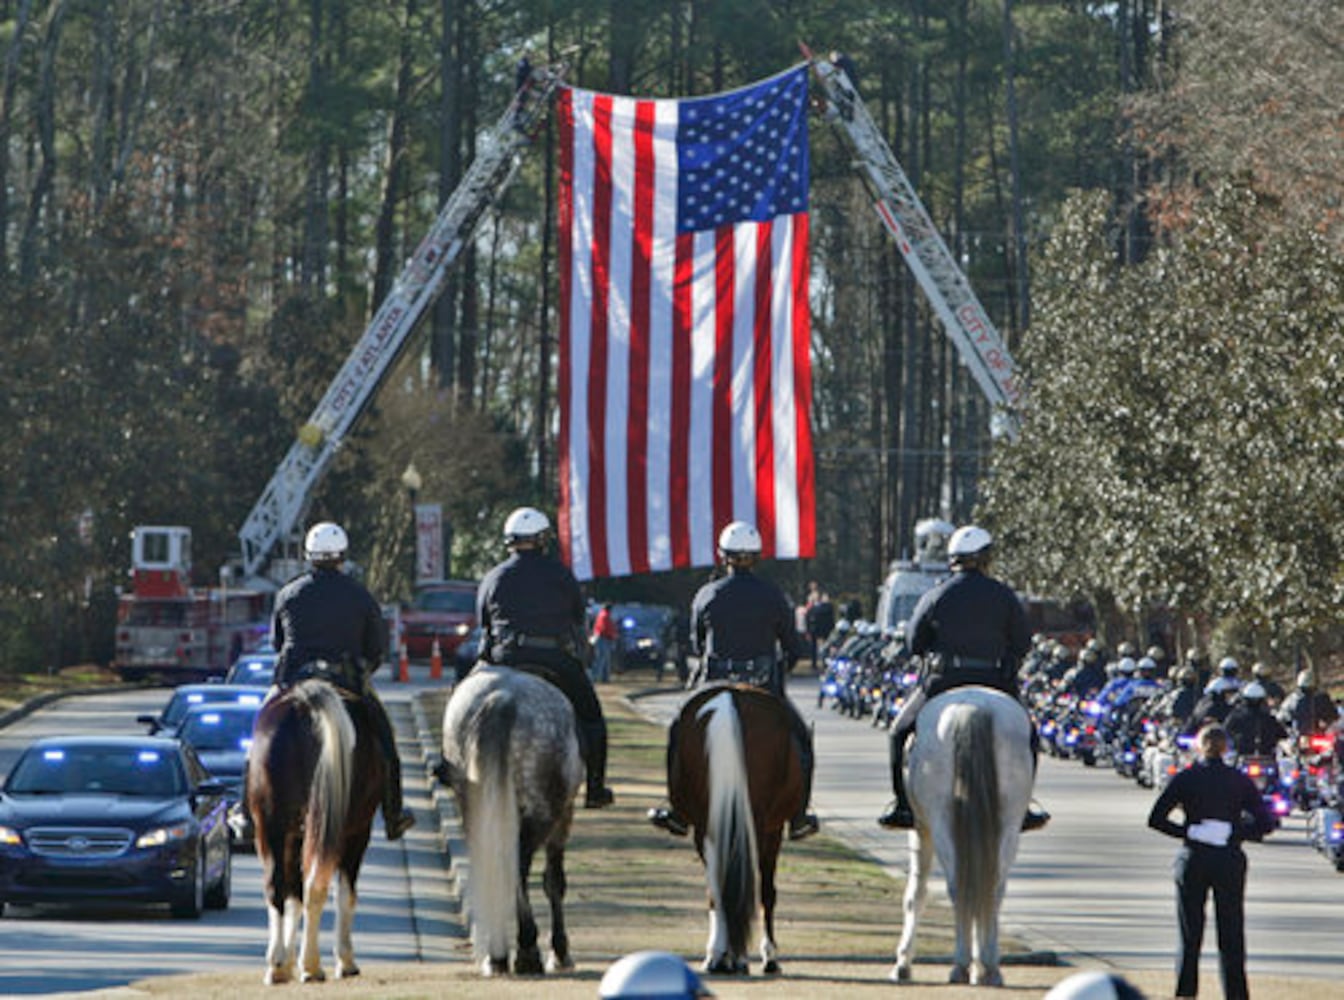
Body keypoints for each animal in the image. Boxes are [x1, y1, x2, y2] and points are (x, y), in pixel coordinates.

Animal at [244, 680, 381, 983]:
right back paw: (312, 965)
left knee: (277, 887)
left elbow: (293, 896)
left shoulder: (292, 837)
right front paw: (344, 960)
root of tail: (305, 702)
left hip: (271, 826)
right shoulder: (357, 833)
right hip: (336, 831)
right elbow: (344, 895)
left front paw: (286, 961)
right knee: (316, 887)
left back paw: (277, 965)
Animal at [666, 682, 801, 973]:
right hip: (756, 826)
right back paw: (736, 956)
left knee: (716, 886)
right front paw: (769, 955)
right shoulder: (773, 830)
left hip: (707, 825)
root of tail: (730, 698)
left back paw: (718, 955)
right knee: (751, 886)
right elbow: (767, 891)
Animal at [897, 688, 1032, 983]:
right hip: (1008, 825)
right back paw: (989, 967)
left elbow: (916, 893)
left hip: (940, 823)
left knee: (958, 886)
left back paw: (960, 964)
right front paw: (980, 965)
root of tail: (974, 705)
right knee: (993, 887)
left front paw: (903, 962)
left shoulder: (919, 828)